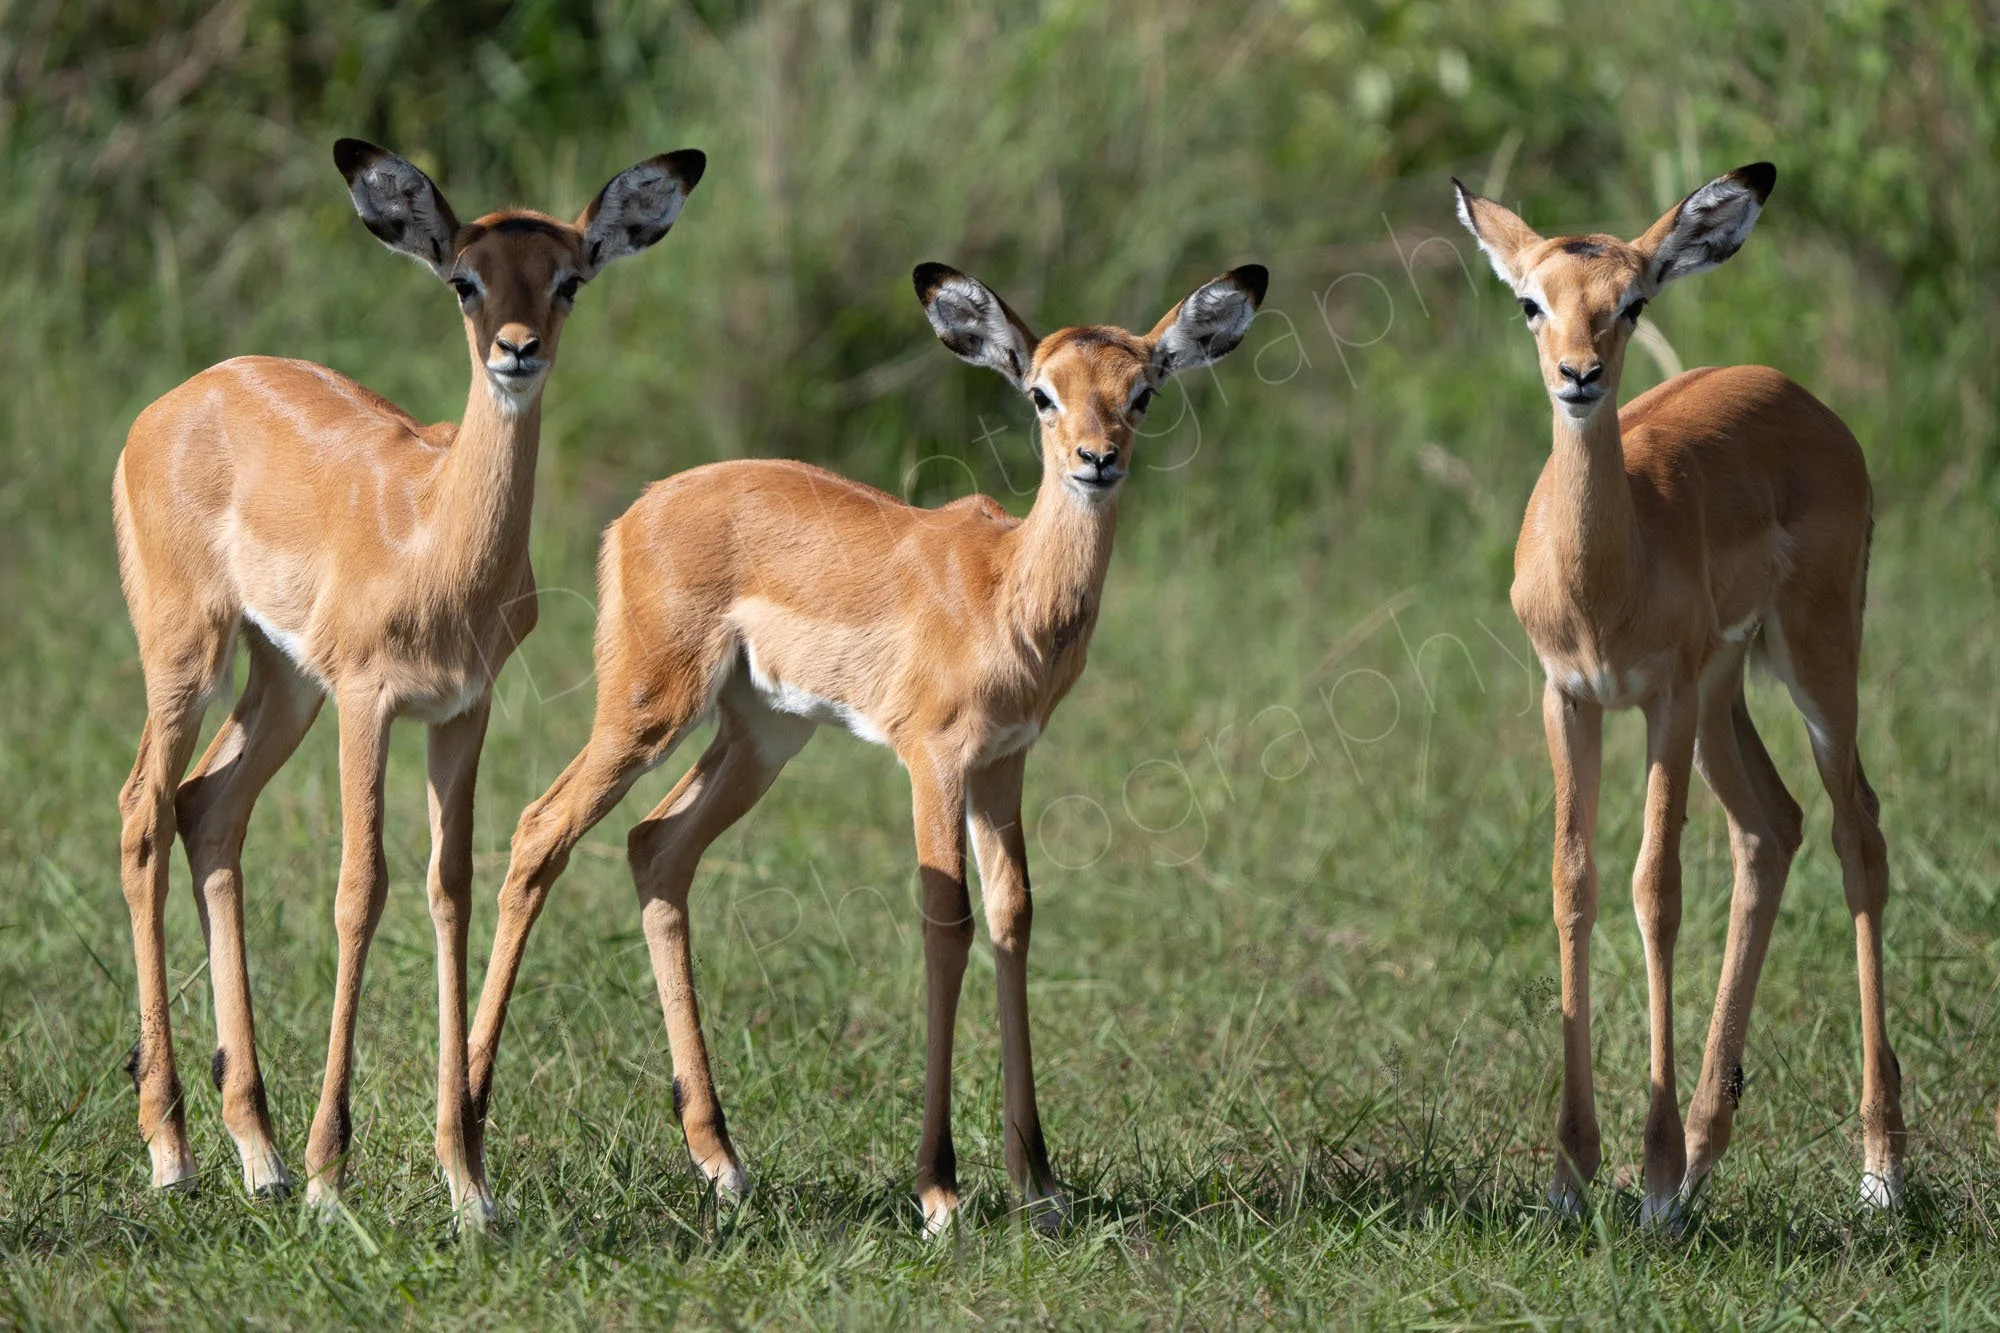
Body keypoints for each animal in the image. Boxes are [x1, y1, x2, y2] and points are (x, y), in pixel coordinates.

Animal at [112, 138, 705, 1221]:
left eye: (567, 277)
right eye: (465, 279)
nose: (516, 349)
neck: (435, 538)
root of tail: (175, 401)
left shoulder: (459, 711)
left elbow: (450, 888)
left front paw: (467, 1182)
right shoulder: (368, 701)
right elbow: (361, 887)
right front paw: (329, 1175)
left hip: (281, 683)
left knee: (207, 806)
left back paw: (255, 1153)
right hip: (189, 653)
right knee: (141, 810)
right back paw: (175, 1154)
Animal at [461, 261, 1267, 1234]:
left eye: (1141, 392)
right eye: (1041, 393)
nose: (1097, 460)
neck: (1006, 591)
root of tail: (637, 512)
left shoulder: (1005, 763)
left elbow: (1014, 914)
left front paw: (1039, 1185)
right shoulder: (934, 761)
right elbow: (947, 921)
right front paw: (940, 1190)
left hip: (763, 735)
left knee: (656, 847)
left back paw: (721, 1161)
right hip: (646, 711)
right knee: (541, 828)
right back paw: (471, 1157)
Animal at [1453, 164, 1905, 1224]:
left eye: (1632, 301)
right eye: (1531, 301)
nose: (1579, 376)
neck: (1602, 582)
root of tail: (1800, 397)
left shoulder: (1660, 700)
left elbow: (1655, 888)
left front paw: (1651, 1176)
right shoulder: (1569, 697)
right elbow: (1573, 883)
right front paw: (1574, 1175)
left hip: (1814, 661)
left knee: (1856, 832)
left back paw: (1878, 1169)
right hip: (1725, 693)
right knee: (1772, 827)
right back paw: (1706, 1152)